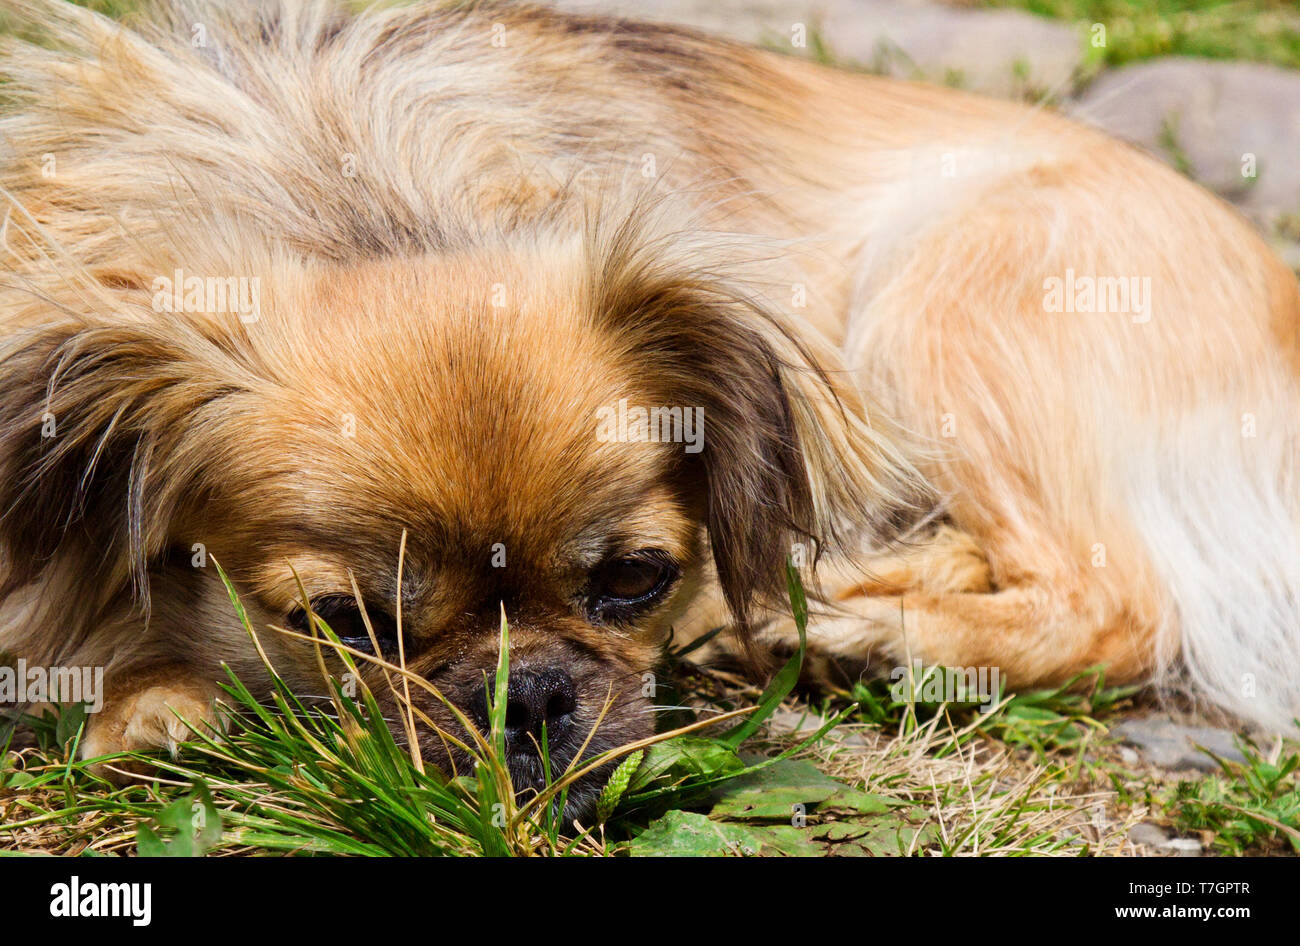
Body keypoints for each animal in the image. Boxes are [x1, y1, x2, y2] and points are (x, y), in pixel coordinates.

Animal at [2, 0, 1300, 810]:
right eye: (344, 622)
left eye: (635, 578)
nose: (527, 693)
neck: (358, 202)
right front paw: (160, 705)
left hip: (953, 288)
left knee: (1113, 597)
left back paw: (858, 636)